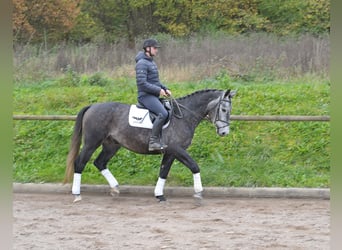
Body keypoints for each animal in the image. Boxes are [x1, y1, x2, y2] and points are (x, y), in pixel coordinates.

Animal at [64, 89, 236, 202]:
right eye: (223, 109)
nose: (224, 132)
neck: (184, 116)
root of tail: (92, 106)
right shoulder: (177, 149)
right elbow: (194, 166)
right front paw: (199, 192)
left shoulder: (170, 152)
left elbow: (164, 171)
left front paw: (159, 194)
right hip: (91, 142)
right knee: (80, 163)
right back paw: (77, 194)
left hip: (112, 145)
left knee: (100, 162)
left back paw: (115, 188)